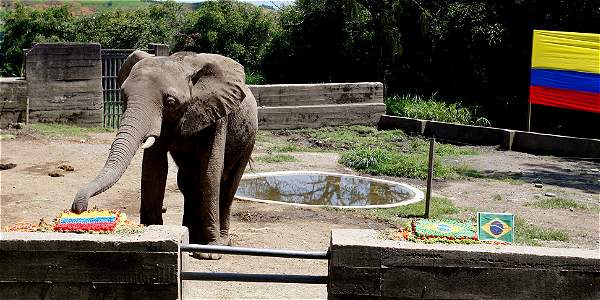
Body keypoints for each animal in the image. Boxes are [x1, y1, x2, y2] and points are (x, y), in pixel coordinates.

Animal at [71, 50, 258, 258]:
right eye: (123, 96)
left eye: (170, 102)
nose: (79, 209)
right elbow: (154, 169)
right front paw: (151, 231)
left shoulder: (216, 113)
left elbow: (210, 172)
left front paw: (209, 253)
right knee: (187, 183)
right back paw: (192, 236)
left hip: (249, 139)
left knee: (229, 184)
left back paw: (222, 242)